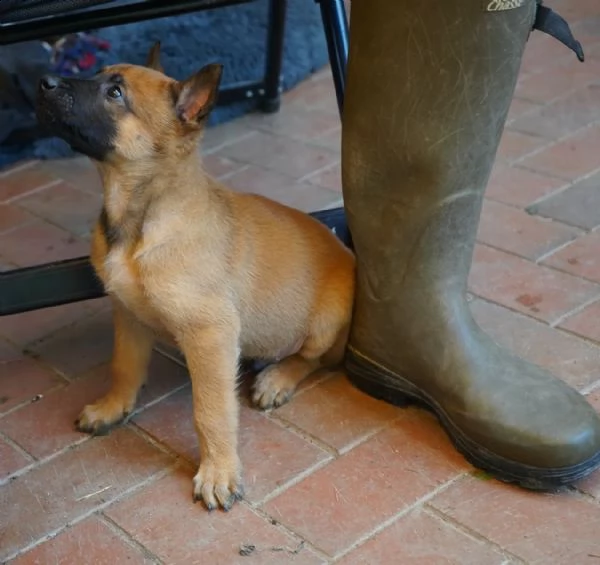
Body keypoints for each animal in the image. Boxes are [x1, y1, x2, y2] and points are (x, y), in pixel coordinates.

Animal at [36, 44, 356, 512]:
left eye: (115, 93)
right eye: (98, 77)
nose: (42, 82)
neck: (141, 216)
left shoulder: (209, 333)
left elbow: (211, 411)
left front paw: (218, 471)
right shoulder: (127, 314)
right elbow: (123, 366)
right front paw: (113, 407)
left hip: (326, 323)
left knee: (314, 359)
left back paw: (277, 378)